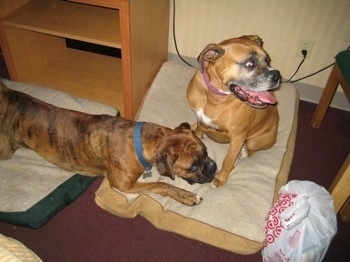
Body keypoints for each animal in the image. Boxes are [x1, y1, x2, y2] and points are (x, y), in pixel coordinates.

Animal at [0, 80, 217, 205]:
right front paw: (186, 196)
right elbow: (161, 184)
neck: (140, 142)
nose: (212, 167)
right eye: (193, 166)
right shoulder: (124, 185)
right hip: (6, 150)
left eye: (207, 151)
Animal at [187, 34, 280, 187]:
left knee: (251, 150)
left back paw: (244, 152)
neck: (214, 96)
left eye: (267, 60)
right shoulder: (199, 118)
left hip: (257, 140)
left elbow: (228, 160)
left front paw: (220, 178)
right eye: (250, 63)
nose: (277, 75)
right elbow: (199, 133)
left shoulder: (237, 137)